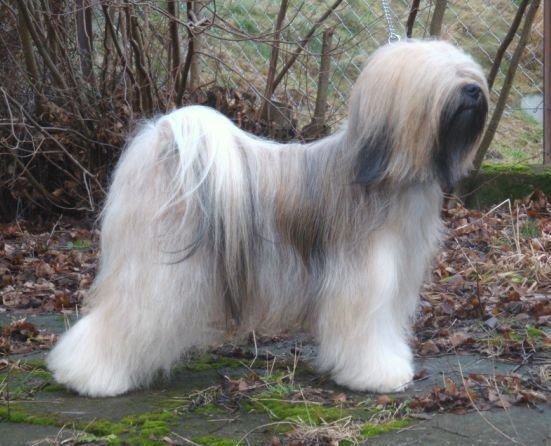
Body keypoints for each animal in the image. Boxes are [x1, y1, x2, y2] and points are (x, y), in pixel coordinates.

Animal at [47, 40, 488, 398]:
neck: (389, 175)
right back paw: (89, 376)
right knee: (122, 317)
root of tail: (164, 143)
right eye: (438, 73)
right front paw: (376, 374)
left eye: (465, 66)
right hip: (156, 270)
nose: (473, 88)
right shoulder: (362, 281)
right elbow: (364, 331)